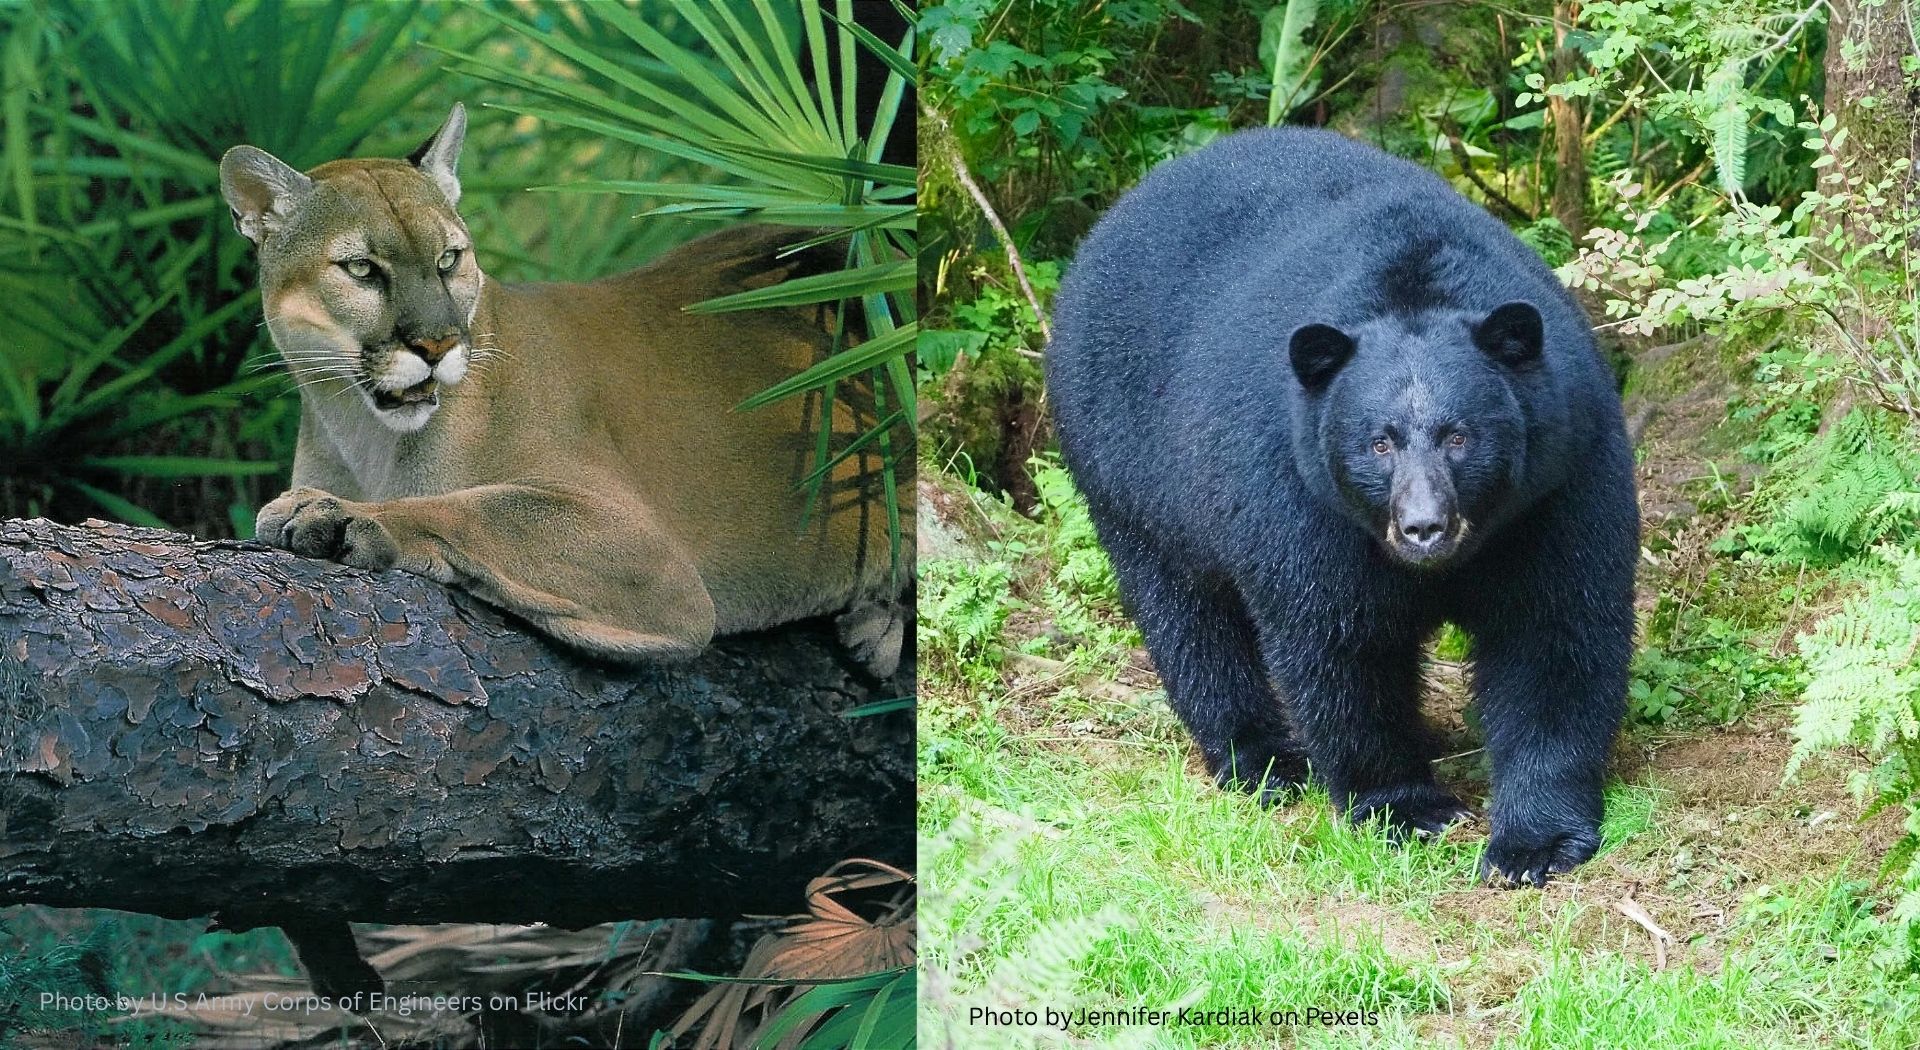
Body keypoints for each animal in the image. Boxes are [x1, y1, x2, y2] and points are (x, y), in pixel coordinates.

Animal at [1044, 127, 1639, 886]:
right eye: (1378, 442)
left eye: (1459, 435)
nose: (1423, 528)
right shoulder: (1299, 499)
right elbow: (1339, 645)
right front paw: (1405, 807)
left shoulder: (1559, 483)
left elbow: (1554, 630)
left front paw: (1535, 840)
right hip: (1128, 471)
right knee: (1187, 619)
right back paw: (1262, 760)